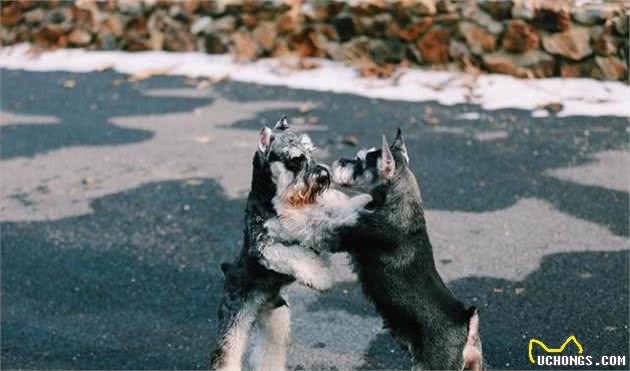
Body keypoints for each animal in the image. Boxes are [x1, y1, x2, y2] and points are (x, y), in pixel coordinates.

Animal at [210, 117, 372, 371]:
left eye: (311, 151)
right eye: (296, 159)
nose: (324, 176)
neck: (273, 198)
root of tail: (229, 272)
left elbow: (331, 206)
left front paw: (358, 201)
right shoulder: (267, 247)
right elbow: (298, 254)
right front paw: (321, 278)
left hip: (277, 321)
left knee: (269, 355)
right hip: (235, 322)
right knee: (226, 356)